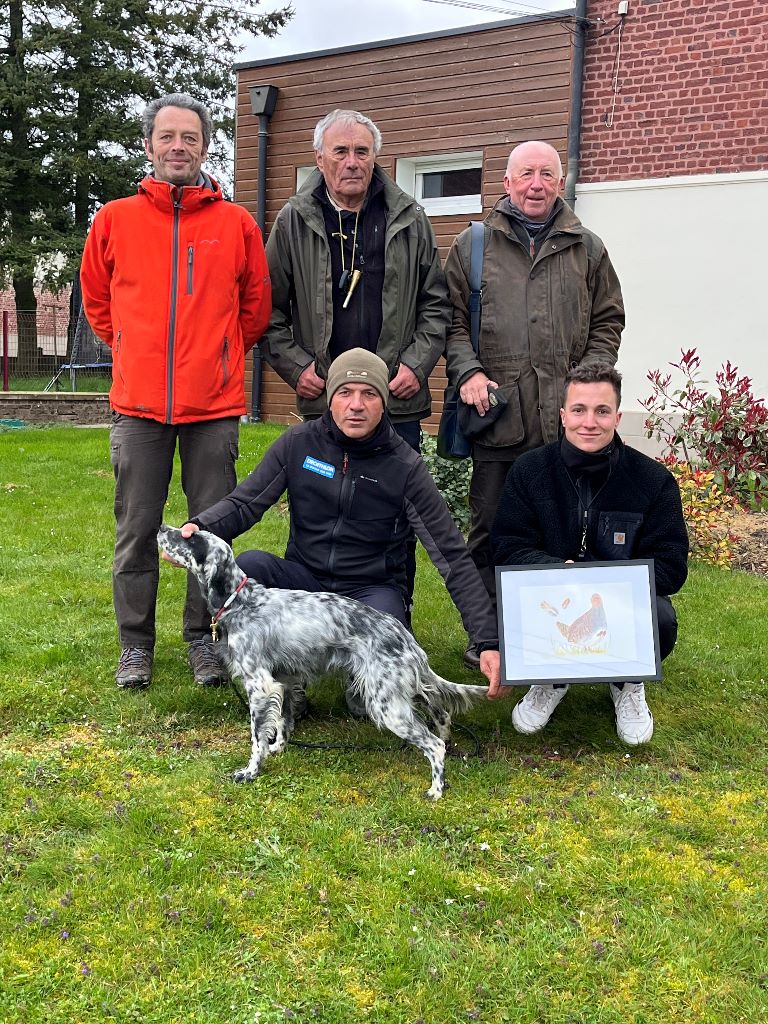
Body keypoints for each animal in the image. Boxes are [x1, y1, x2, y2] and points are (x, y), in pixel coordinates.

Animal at [158, 528, 489, 798]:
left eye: (191, 538)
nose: (161, 527)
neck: (240, 603)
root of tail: (404, 635)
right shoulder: (283, 682)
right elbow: (282, 722)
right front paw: (277, 748)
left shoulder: (259, 685)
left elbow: (256, 736)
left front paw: (251, 771)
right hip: (401, 689)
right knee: (441, 713)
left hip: (386, 705)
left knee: (434, 745)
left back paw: (436, 790)